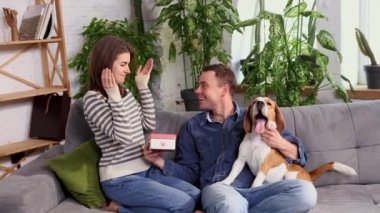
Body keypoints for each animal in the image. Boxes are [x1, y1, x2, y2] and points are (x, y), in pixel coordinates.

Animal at [220, 97, 356, 187]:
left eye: (268, 103)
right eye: (254, 102)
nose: (259, 103)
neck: (256, 139)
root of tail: (308, 174)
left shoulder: (264, 165)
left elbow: (256, 181)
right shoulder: (240, 160)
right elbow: (232, 173)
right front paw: (224, 182)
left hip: (289, 176)